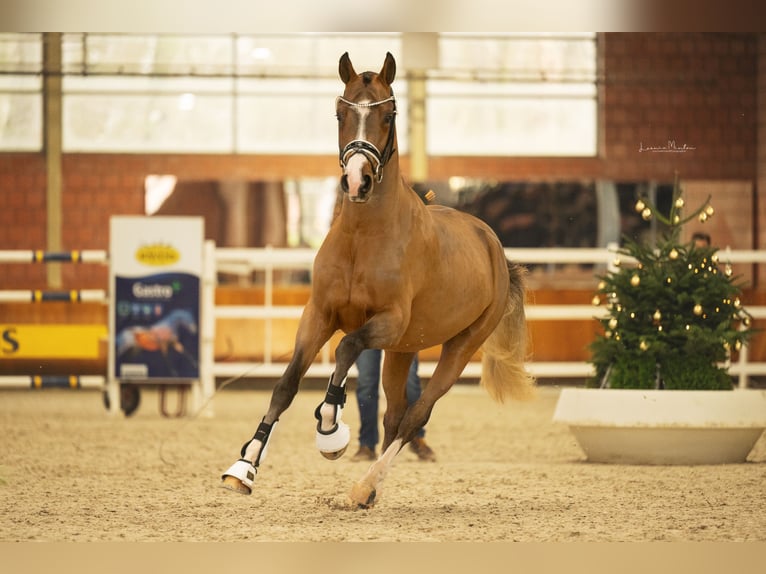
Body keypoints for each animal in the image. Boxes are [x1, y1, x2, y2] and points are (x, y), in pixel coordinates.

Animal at [222, 50, 536, 508]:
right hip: (403, 350)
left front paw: (330, 427)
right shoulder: (319, 316)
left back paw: (363, 485)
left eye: (388, 115)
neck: (362, 238)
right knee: (395, 415)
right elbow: (286, 385)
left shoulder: (385, 322)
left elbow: (346, 349)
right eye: (340, 114)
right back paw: (369, 492)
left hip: (460, 346)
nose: (357, 181)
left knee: (415, 415)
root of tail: (493, 245)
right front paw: (243, 468)